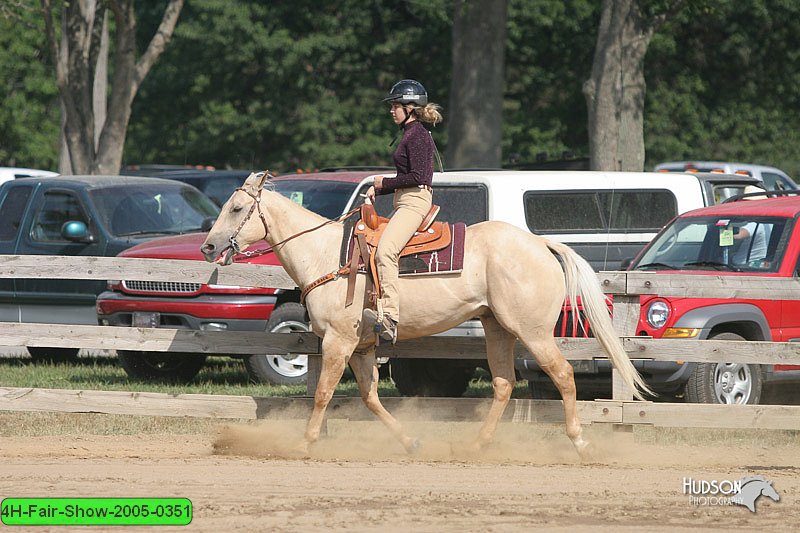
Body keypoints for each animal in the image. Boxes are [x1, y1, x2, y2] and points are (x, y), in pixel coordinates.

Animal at [200, 171, 648, 458]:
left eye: (236, 208)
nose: (208, 247)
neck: (325, 255)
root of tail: (540, 243)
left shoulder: (338, 341)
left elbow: (324, 393)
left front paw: (303, 443)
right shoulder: (361, 347)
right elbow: (370, 398)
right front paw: (410, 442)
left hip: (533, 331)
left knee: (564, 375)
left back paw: (580, 443)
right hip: (498, 329)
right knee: (504, 383)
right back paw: (476, 445)